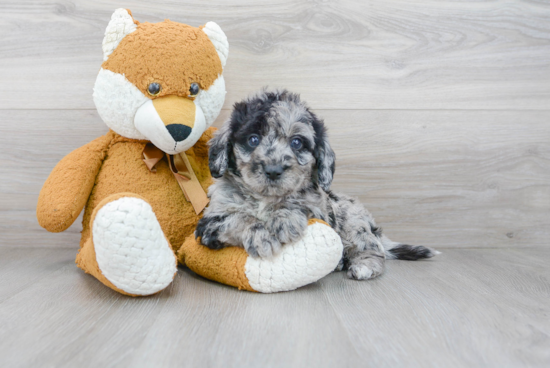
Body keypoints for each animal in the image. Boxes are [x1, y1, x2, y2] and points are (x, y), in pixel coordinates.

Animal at [196, 89, 438, 278]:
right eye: (253, 139)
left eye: (296, 142)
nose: (273, 170)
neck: (266, 199)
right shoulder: (209, 224)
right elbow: (239, 218)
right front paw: (261, 235)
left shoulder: (320, 212)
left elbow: (298, 205)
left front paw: (284, 219)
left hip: (353, 221)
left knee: (372, 249)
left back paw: (363, 266)